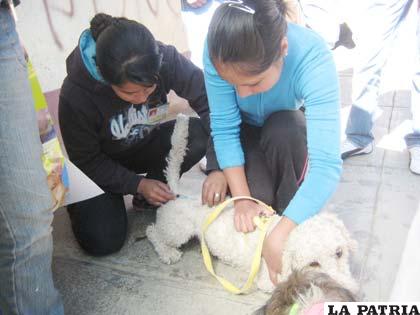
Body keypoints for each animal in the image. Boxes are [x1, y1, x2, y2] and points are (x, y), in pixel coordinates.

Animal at [145, 115, 358, 296]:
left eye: (339, 253)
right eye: (313, 264)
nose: (348, 291)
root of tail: (177, 194)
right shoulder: (270, 280)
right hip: (177, 231)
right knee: (152, 231)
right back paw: (167, 252)